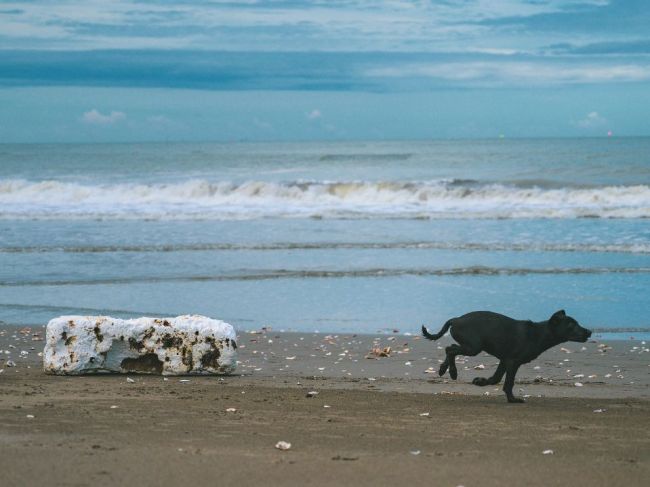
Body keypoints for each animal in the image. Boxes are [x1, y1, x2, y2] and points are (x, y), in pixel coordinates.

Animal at [422, 312, 588, 404]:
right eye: (571, 326)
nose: (589, 332)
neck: (538, 334)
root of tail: (456, 319)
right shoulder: (512, 362)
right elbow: (509, 383)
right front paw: (513, 400)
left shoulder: (504, 360)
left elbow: (495, 379)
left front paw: (481, 382)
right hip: (473, 347)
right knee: (450, 349)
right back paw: (451, 371)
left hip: (470, 346)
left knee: (449, 348)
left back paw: (445, 370)